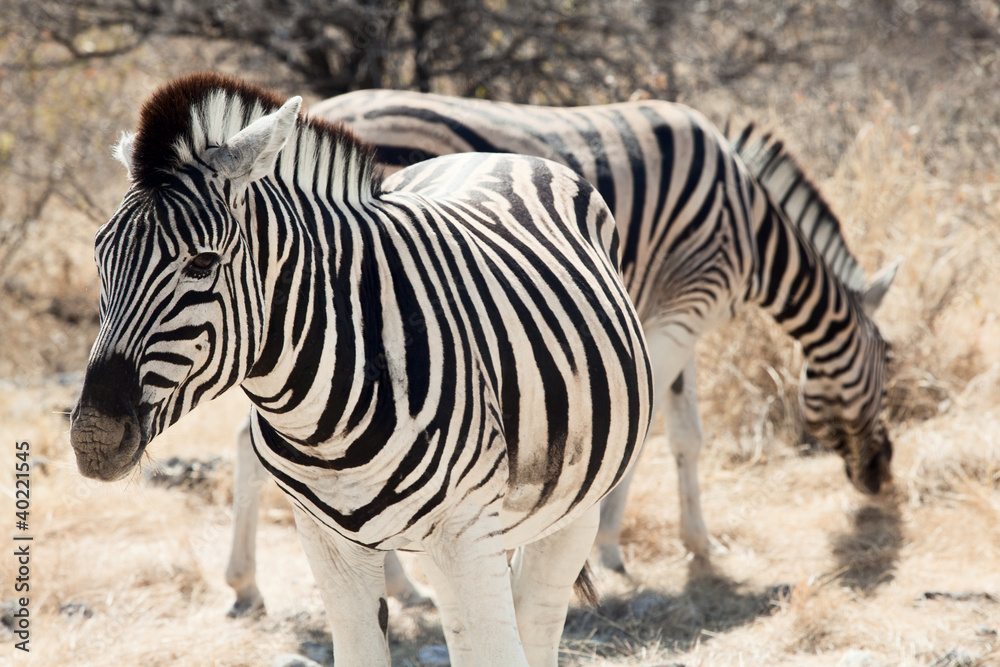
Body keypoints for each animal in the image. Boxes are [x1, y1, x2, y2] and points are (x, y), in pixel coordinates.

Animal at [69, 73, 652, 666]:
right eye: (99, 258)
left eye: (203, 263)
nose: (93, 436)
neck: (322, 422)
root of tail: (496, 154)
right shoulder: (329, 543)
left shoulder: (465, 532)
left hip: (566, 511)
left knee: (536, 616)